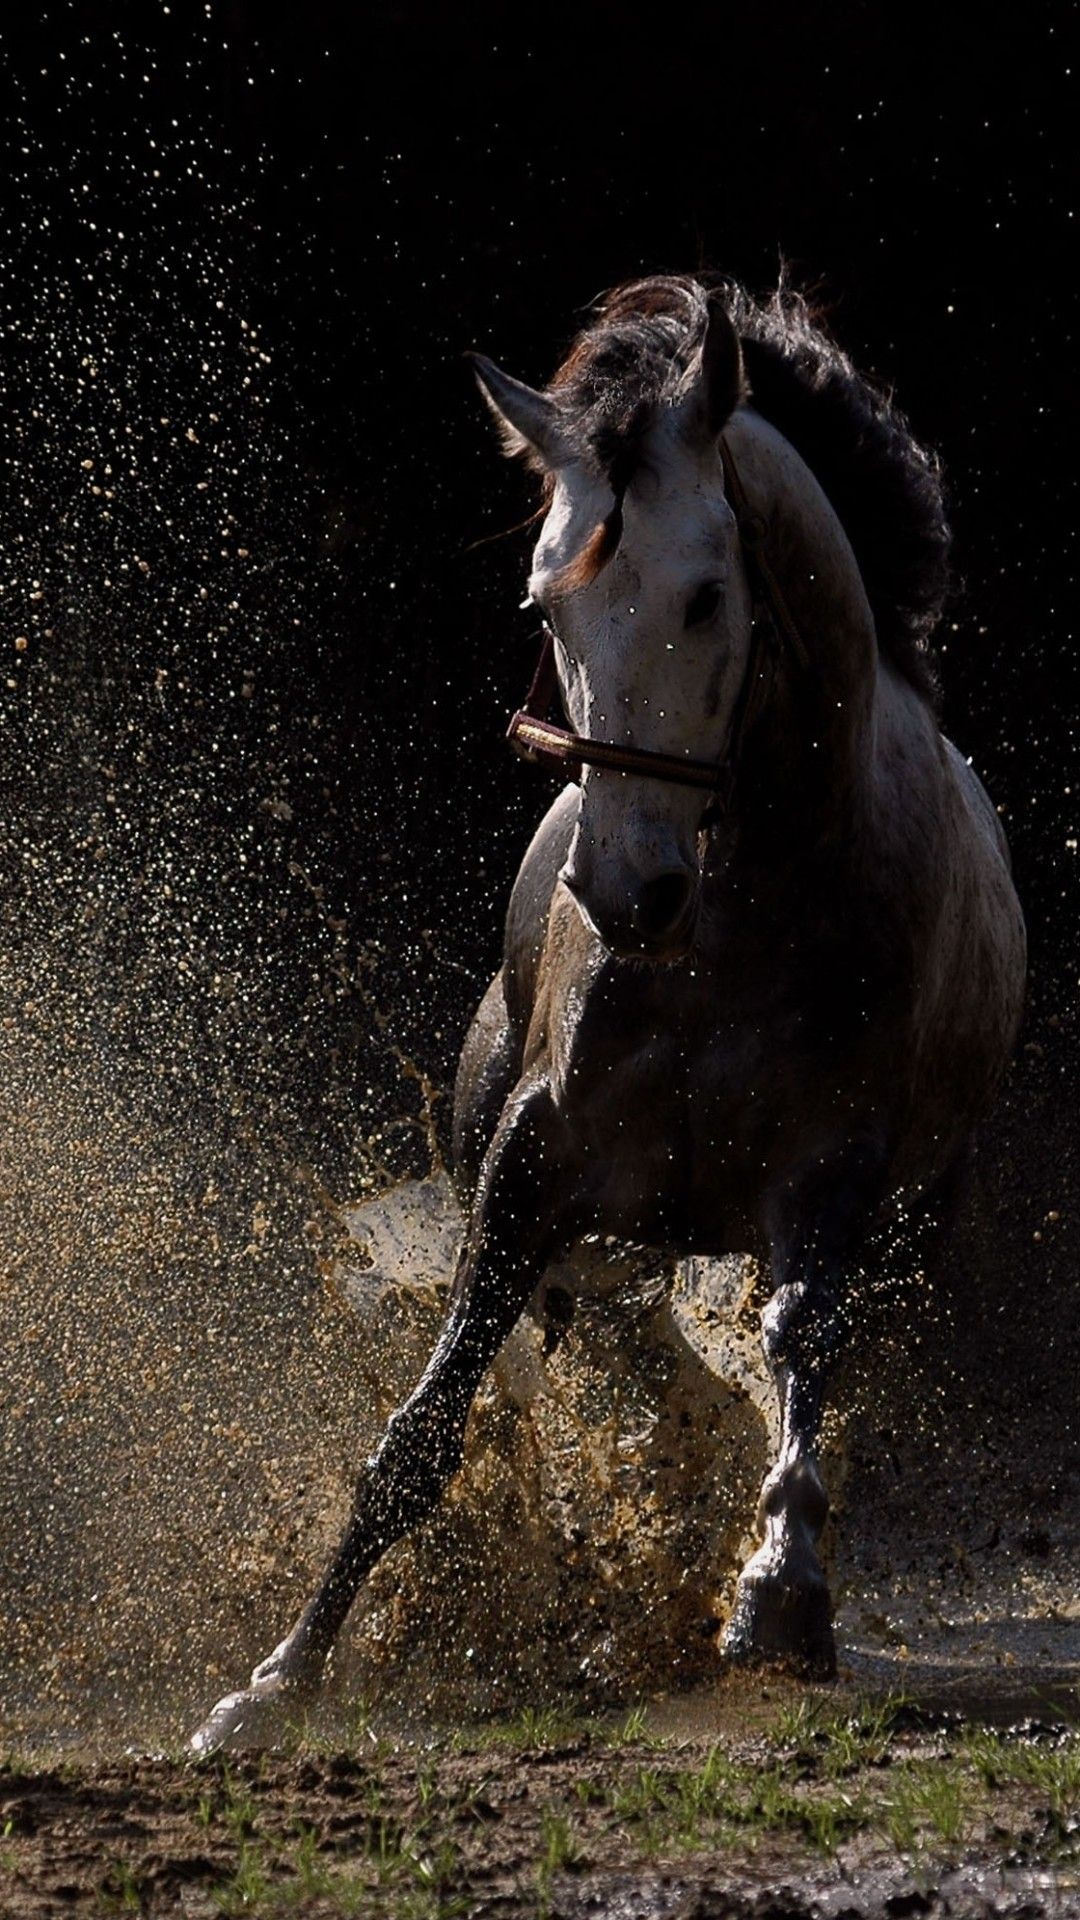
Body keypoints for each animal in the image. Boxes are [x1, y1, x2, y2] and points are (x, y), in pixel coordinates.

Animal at [192, 274, 1026, 1753]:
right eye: (547, 608)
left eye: (707, 594)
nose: (625, 888)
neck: (740, 916)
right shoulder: (535, 1157)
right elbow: (428, 1420)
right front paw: (279, 1678)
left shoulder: (834, 1170)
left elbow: (798, 1345)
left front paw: (779, 1599)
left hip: (894, 1229)